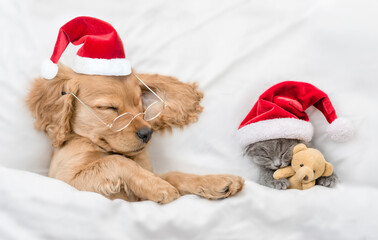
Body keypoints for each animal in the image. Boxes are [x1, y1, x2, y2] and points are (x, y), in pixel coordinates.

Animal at [27, 64, 245, 202]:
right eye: (108, 108)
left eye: (140, 105)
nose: (147, 133)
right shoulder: (65, 179)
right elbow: (116, 161)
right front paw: (159, 187)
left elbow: (174, 174)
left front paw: (216, 181)